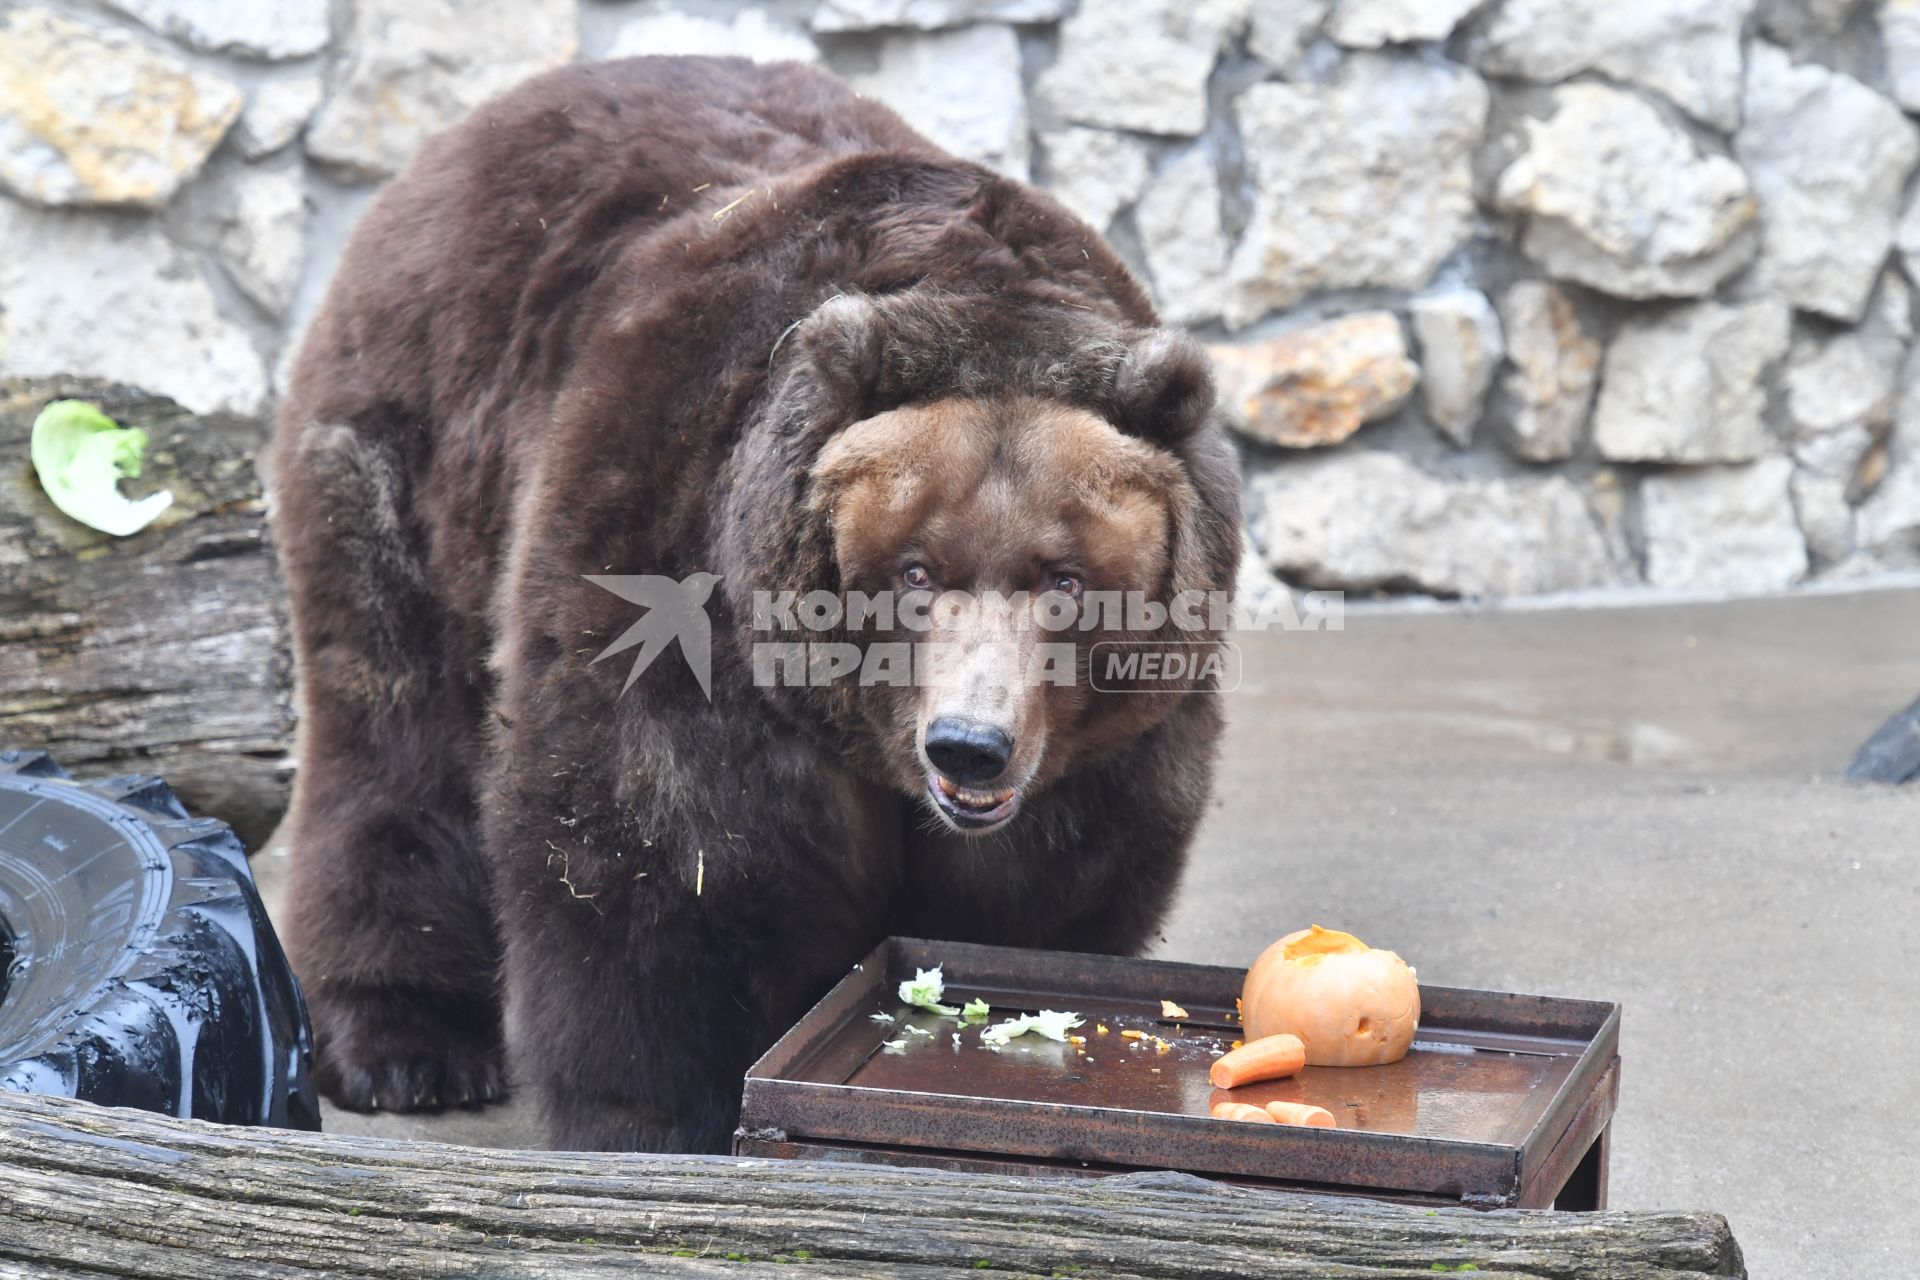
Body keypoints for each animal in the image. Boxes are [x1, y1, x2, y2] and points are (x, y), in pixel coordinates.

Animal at [270, 52, 1236, 1151]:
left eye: (1064, 578)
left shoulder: (1108, 740)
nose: (969, 746)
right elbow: (659, 851)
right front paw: (649, 1114)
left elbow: (1054, 888)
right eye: (915, 569)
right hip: (415, 451)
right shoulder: (682, 566)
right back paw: (408, 1041)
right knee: (395, 724)